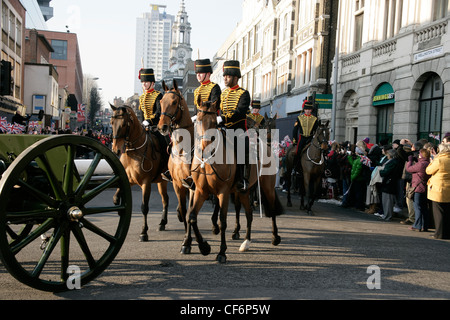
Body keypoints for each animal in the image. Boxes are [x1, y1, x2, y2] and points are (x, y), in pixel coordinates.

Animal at [110, 104, 170, 241]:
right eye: (111, 122)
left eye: (124, 124)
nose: (116, 150)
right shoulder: (128, 179)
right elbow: (116, 196)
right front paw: (119, 206)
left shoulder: (145, 183)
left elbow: (144, 207)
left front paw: (144, 232)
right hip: (161, 181)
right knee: (165, 199)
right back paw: (162, 223)